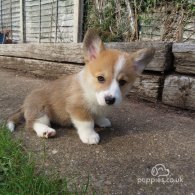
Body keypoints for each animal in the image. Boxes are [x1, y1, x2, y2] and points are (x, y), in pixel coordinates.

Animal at [6, 29, 155, 144]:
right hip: (41, 110)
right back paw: (46, 131)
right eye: (101, 78)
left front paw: (102, 120)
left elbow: (97, 115)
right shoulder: (77, 107)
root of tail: (24, 104)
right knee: (32, 124)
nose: (110, 100)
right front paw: (90, 136)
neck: (91, 90)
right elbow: (87, 122)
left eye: (122, 82)